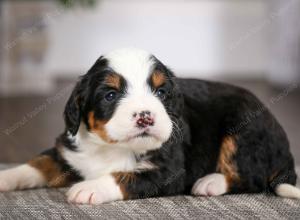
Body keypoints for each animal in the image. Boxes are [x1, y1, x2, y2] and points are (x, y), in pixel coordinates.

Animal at [0, 48, 300, 205]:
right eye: (110, 95)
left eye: (160, 92)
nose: (145, 117)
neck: (111, 147)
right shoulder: (68, 151)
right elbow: (37, 163)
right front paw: (6, 177)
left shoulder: (168, 171)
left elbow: (124, 176)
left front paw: (90, 188)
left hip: (242, 127)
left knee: (252, 177)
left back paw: (211, 182)